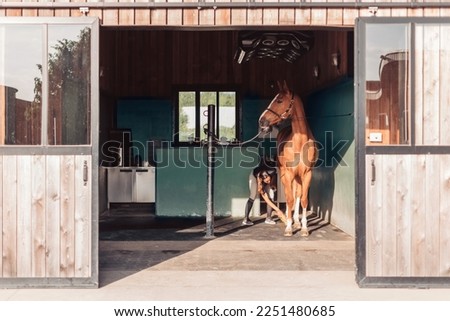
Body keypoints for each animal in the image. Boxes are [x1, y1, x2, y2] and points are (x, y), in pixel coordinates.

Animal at [258, 80, 318, 235]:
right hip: (285, 174)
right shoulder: (288, 174)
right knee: (288, 194)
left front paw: (304, 228)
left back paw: (296, 220)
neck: (300, 142)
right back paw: (289, 219)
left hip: (297, 177)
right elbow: (289, 199)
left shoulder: (307, 174)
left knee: (297, 194)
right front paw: (289, 227)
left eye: (279, 100)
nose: (262, 121)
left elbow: (303, 199)